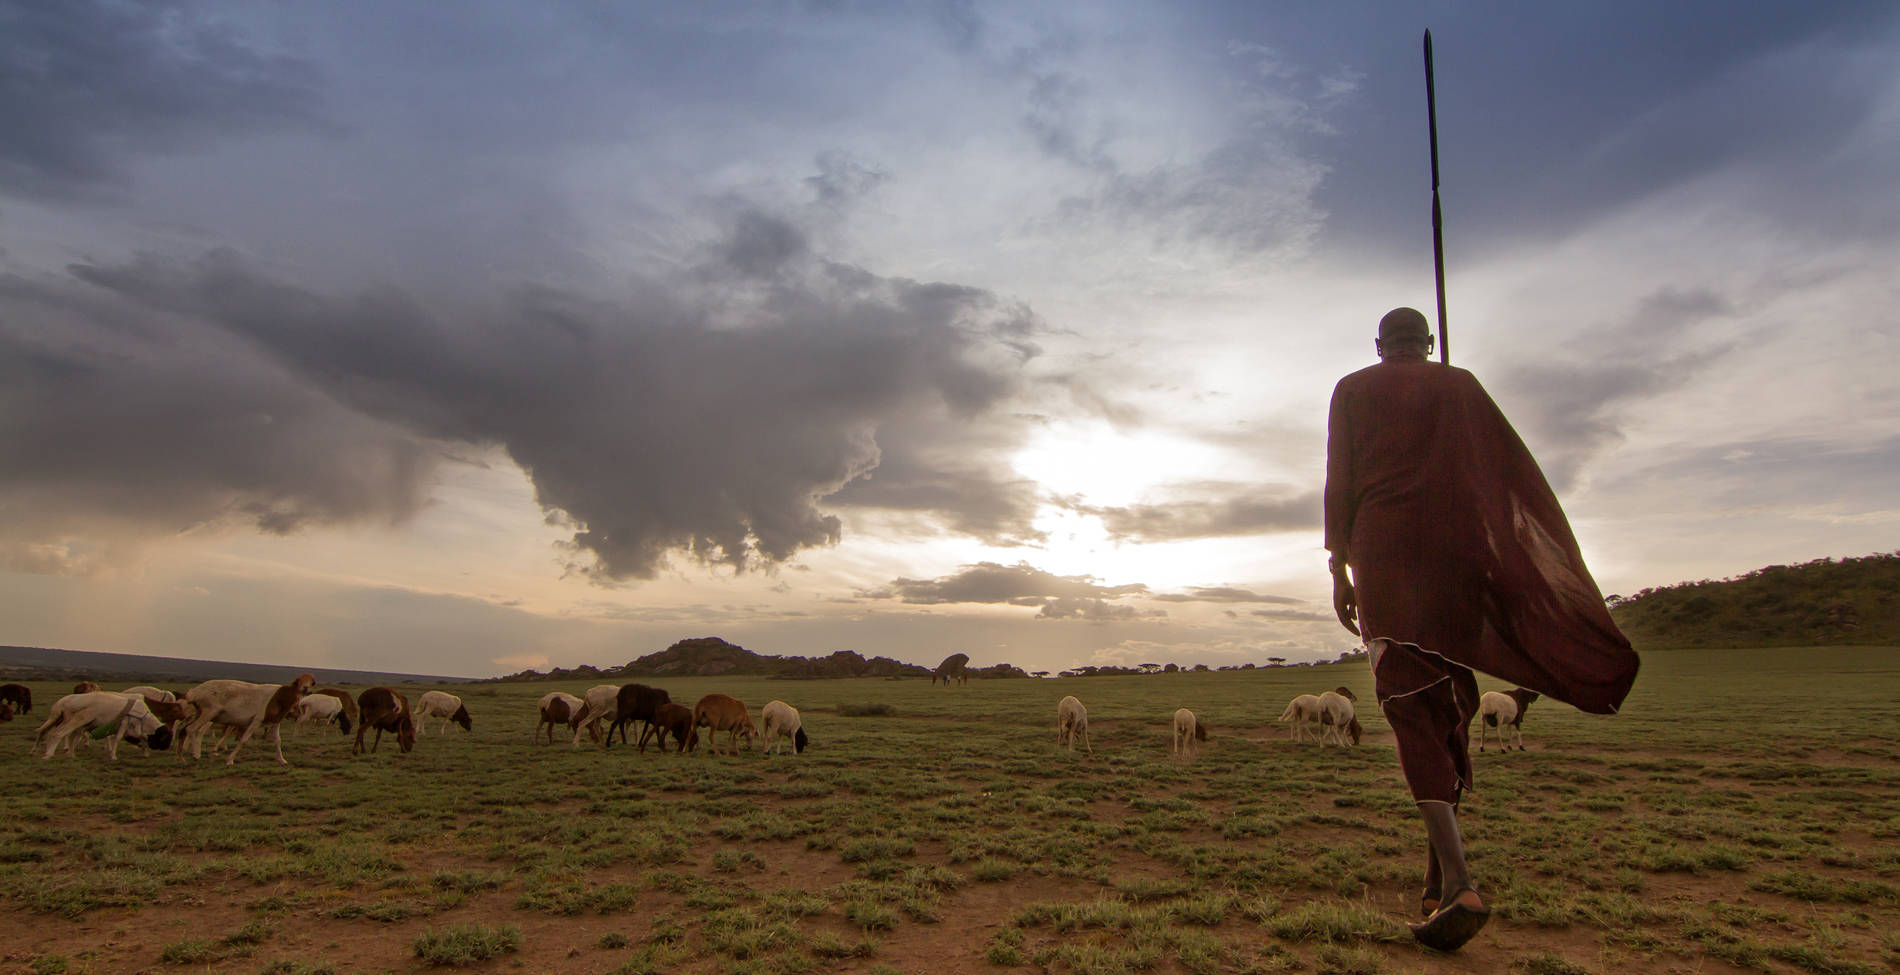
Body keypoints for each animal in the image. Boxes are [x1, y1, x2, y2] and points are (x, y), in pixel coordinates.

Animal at [35, 688, 173, 756]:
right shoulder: (124, 724)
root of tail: (63, 702)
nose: (165, 748)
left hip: (69, 721)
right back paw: (49, 754)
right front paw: (113, 755)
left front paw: (145, 753)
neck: (143, 716)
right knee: (59, 734)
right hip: (78, 719)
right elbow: (117, 738)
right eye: (166, 737)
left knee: (53, 733)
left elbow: (142, 738)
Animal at [181, 672, 315, 764]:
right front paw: (230, 760)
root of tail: (195, 691)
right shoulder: (257, 720)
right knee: (192, 729)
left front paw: (281, 760)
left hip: (199, 713)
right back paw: (196, 755)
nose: (305, 688)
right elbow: (243, 739)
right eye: (298, 681)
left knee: (189, 729)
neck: (279, 698)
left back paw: (188, 750)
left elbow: (278, 741)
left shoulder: (275, 722)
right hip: (209, 712)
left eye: (312, 682)